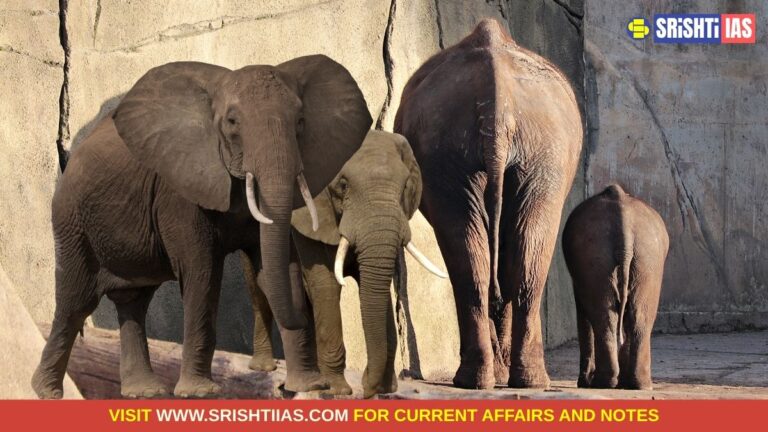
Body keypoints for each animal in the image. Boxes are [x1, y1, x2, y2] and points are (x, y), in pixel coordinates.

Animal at [31, 56, 372, 399]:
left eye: (300, 122)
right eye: (232, 122)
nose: (305, 314)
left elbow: (274, 266)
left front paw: (308, 385)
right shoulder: (178, 193)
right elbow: (202, 272)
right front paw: (199, 392)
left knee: (133, 302)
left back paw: (145, 392)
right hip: (71, 222)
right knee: (75, 302)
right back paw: (46, 392)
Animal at [246, 130, 447, 398]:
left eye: (405, 186)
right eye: (342, 185)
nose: (367, 389)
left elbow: (375, 285)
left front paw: (385, 388)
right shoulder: (310, 223)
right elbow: (326, 284)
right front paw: (338, 389)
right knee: (261, 294)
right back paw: (274, 369)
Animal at [394, 19, 582, 389]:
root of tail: (499, 108)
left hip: (522, 153)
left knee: (501, 257)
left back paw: (503, 379)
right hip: (497, 152)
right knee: (499, 259)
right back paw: (497, 379)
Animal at [563, 184, 669, 390]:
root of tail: (624, 226)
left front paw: (584, 383)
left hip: (604, 256)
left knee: (606, 316)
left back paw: (606, 383)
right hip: (645, 258)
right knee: (638, 317)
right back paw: (636, 384)